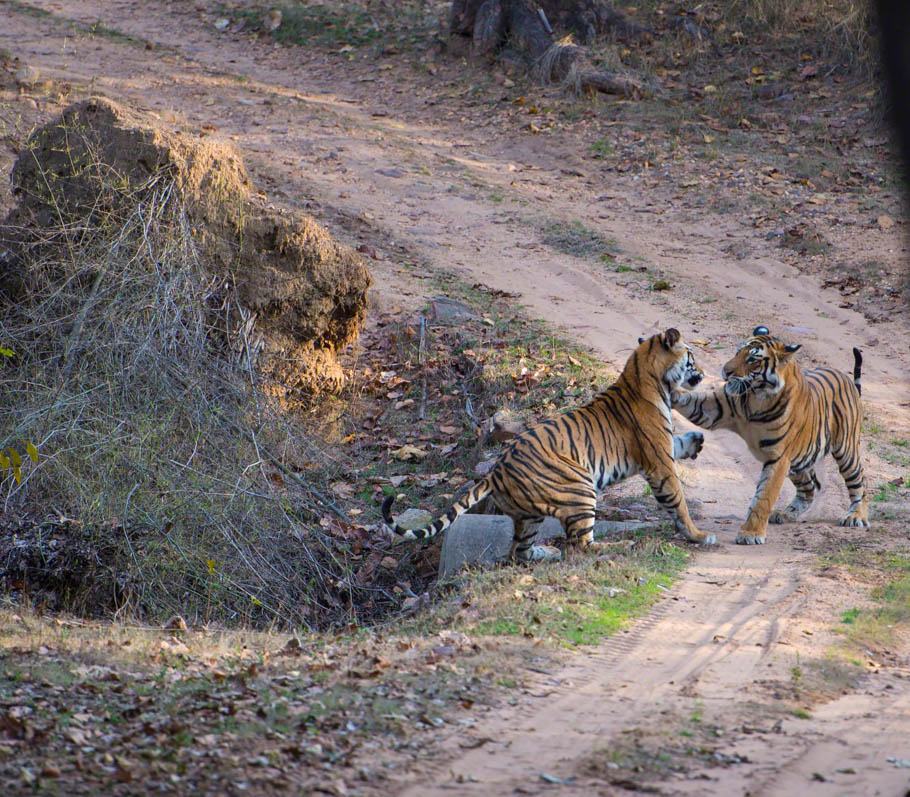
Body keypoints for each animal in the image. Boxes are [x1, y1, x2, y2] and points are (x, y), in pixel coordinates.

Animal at [382, 328, 716, 563]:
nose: (703, 373)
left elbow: (679, 446)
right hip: (580, 487)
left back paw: (547, 553)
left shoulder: (660, 449)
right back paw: (621, 544)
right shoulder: (659, 461)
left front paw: (695, 442)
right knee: (581, 546)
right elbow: (678, 502)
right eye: (691, 357)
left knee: (518, 552)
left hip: (528, 516)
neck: (648, 375)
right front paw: (699, 535)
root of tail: (495, 471)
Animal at [670, 325, 868, 545]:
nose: (725, 371)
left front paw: (751, 533)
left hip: (845, 450)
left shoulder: (779, 458)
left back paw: (856, 516)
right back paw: (786, 514)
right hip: (799, 462)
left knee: (859, 482)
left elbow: (764, 496)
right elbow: (691, 401)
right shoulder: (715, 409)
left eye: (752, 359)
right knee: (811, 487)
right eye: (737, 352)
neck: (757, 398)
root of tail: (846, 379)